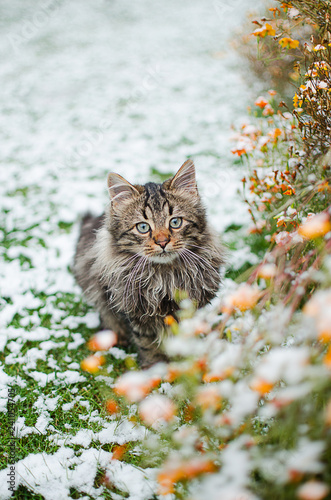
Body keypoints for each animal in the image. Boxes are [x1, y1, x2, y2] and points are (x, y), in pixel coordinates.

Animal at [74, 160, 226, 368]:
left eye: (175, 222)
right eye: (143, 227)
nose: (162, 242)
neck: (164, 277)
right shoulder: (135, 314)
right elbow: (149, 346)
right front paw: (155, 369)